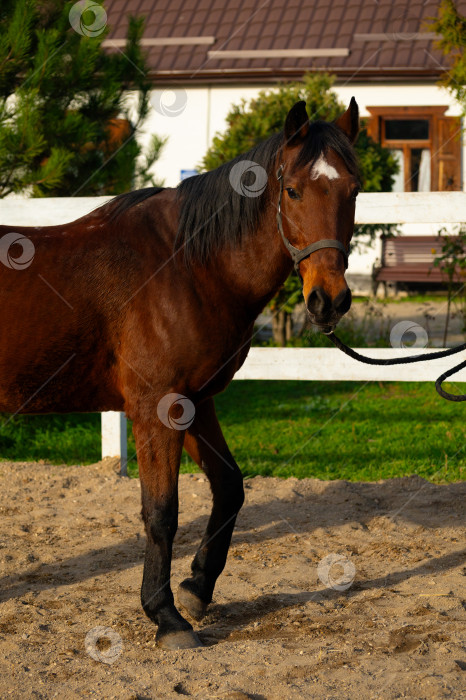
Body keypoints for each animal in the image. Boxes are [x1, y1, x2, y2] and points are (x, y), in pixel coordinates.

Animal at [0, 99, 360, 649]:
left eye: (354, 189)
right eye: (293, 190)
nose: (329, 300)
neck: (187, 264)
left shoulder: (196, 401)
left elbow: (230, 486)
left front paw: (197, 588)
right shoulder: (159, 407)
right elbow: (161, 513)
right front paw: (166, 615)